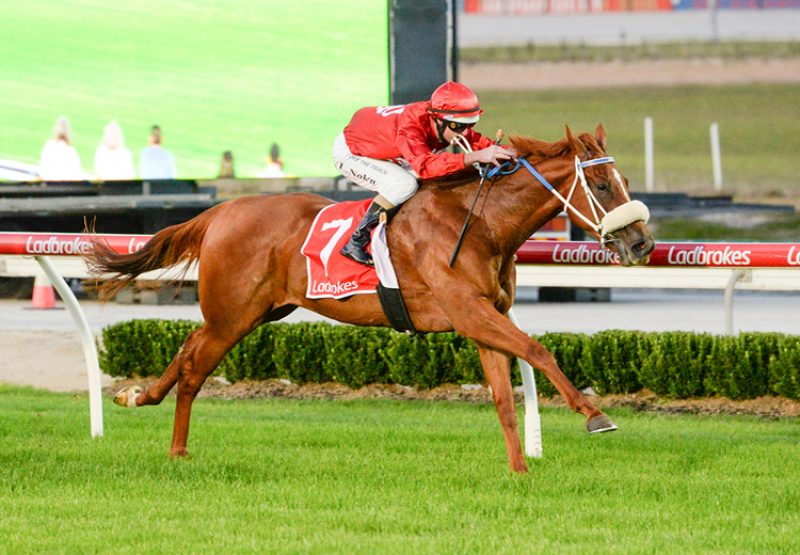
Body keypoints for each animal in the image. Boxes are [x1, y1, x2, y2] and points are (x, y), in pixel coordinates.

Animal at [89, 126, 648, 474]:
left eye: (624, 181)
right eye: (602, 184)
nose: (641, 243)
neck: (482, 224)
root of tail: (221, 212)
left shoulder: (485, 318)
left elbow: (505, 400)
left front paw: (519, 469)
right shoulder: (468, 311)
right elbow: (538, 351)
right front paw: (594, 414)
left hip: (252, 312)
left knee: (187, 349)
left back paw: (137, 395)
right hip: (233, 315)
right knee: (194, 370)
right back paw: (177, 449)